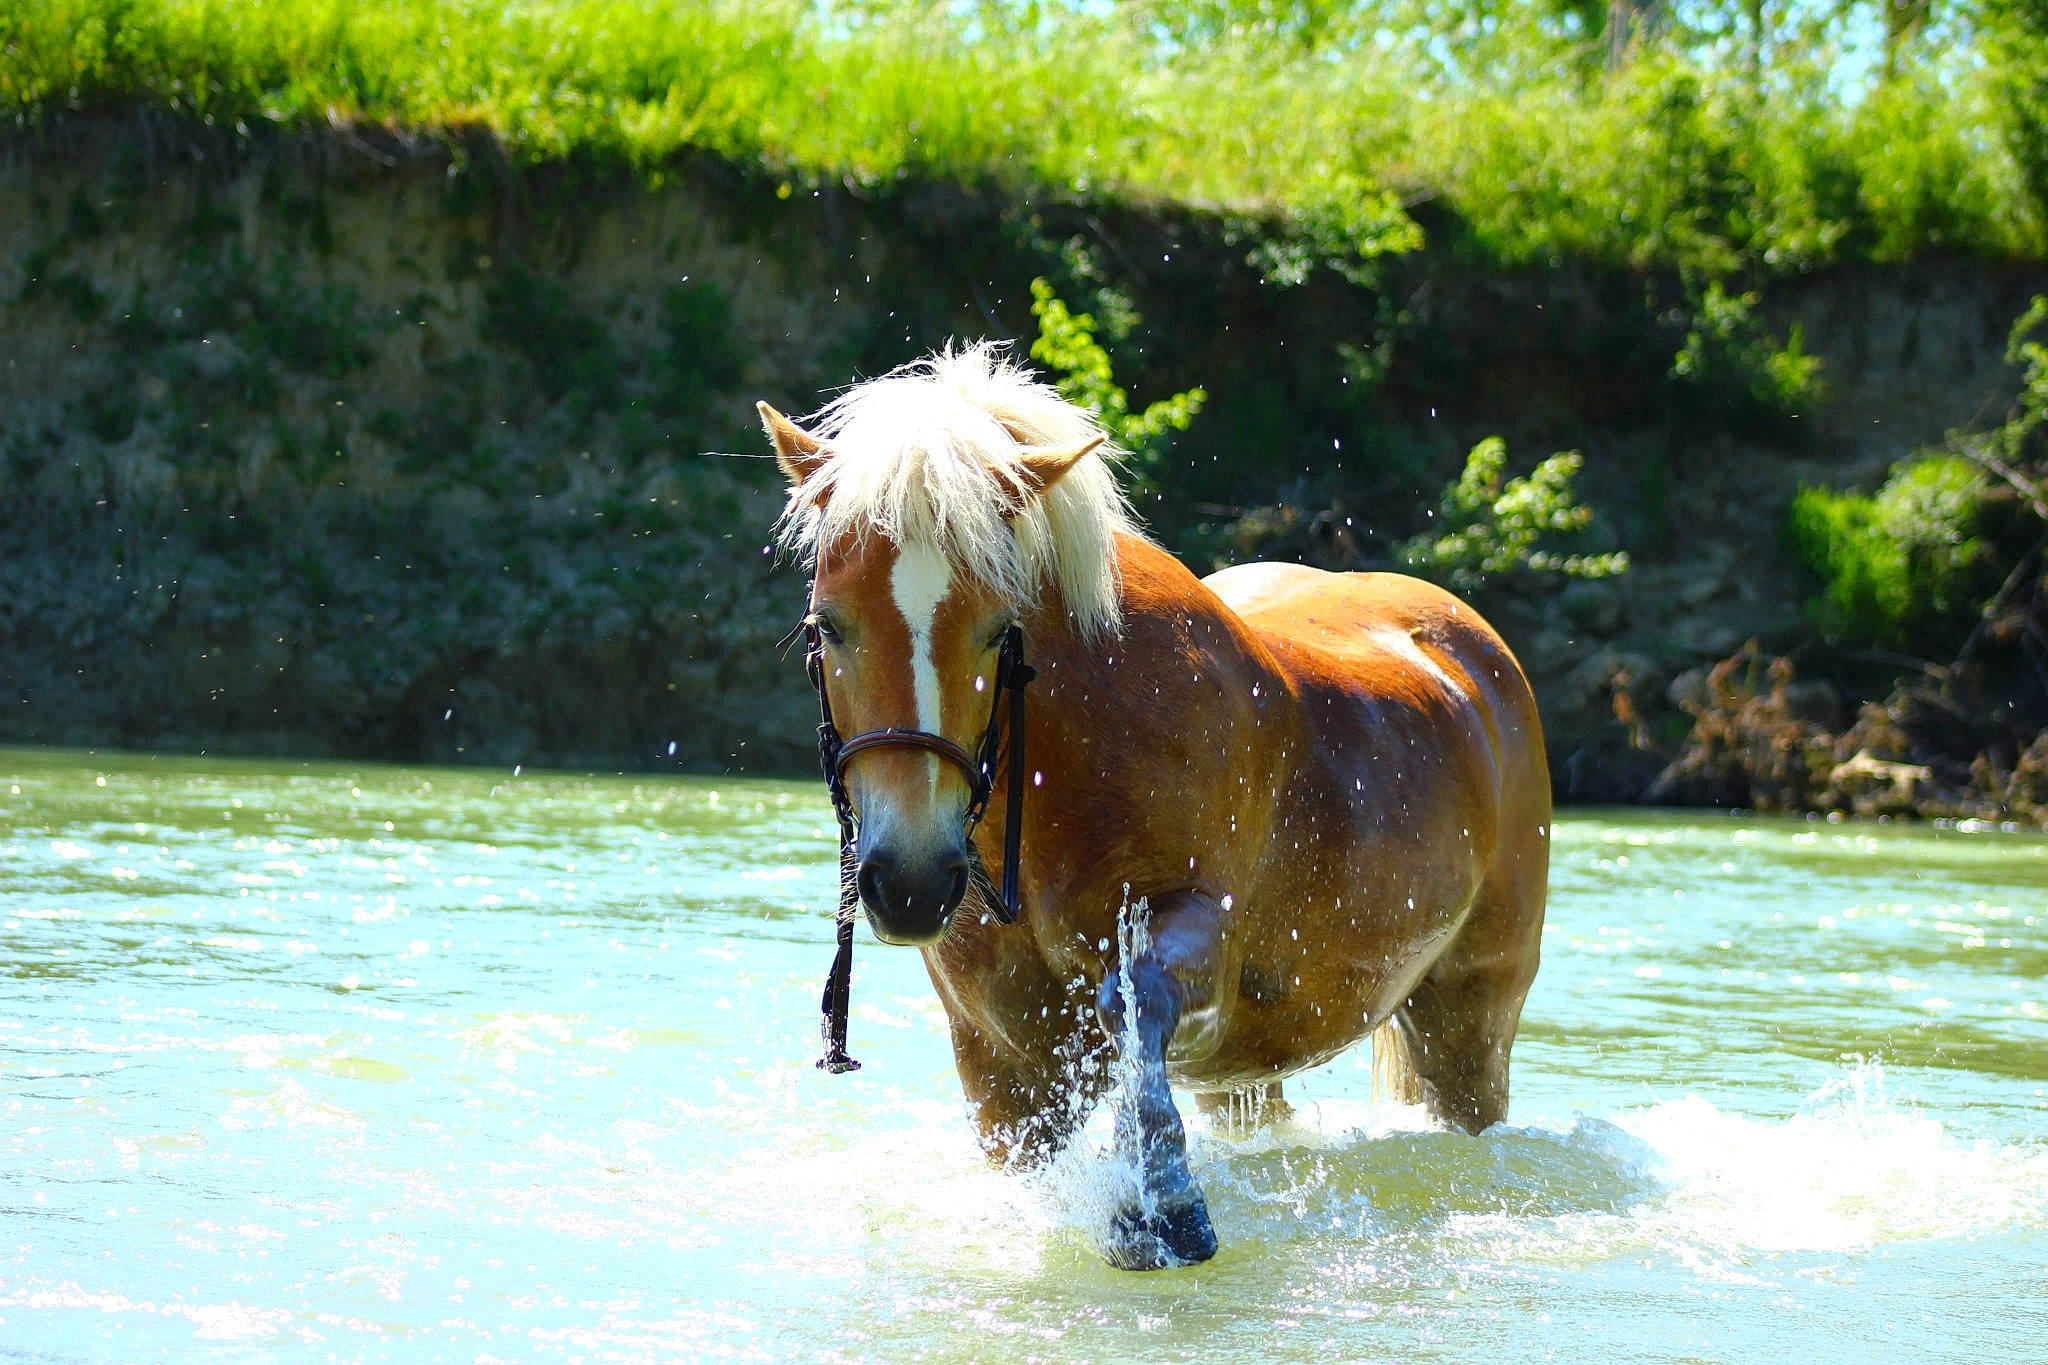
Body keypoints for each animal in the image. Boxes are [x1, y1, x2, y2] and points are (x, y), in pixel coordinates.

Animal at [760, 344, 1550, 1270]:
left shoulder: (1199, 931)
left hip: (1471, 1022)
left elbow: (1129, 998)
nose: (912, 879)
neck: (1058, 791)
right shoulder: (1003, 1063)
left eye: (998, 627)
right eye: (828, 625)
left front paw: (1161, 1202)